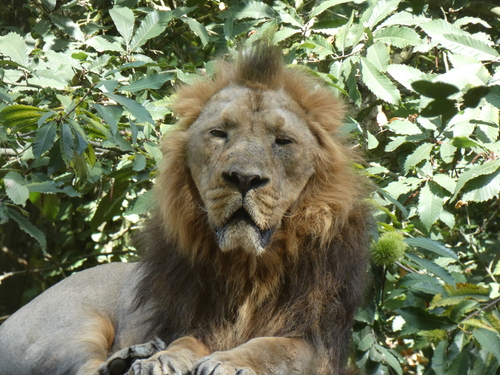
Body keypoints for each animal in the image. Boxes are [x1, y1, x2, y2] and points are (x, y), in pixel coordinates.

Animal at [0, 44, 370, 375]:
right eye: (219, 133)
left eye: (282, 140)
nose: (244, 178)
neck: (250, 267)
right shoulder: (197, 322)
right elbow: (187, 341)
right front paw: (163, 360)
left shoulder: (317, 341)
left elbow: (271, 348)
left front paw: (228, 362)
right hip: (73, 323)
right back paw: (131, 358)